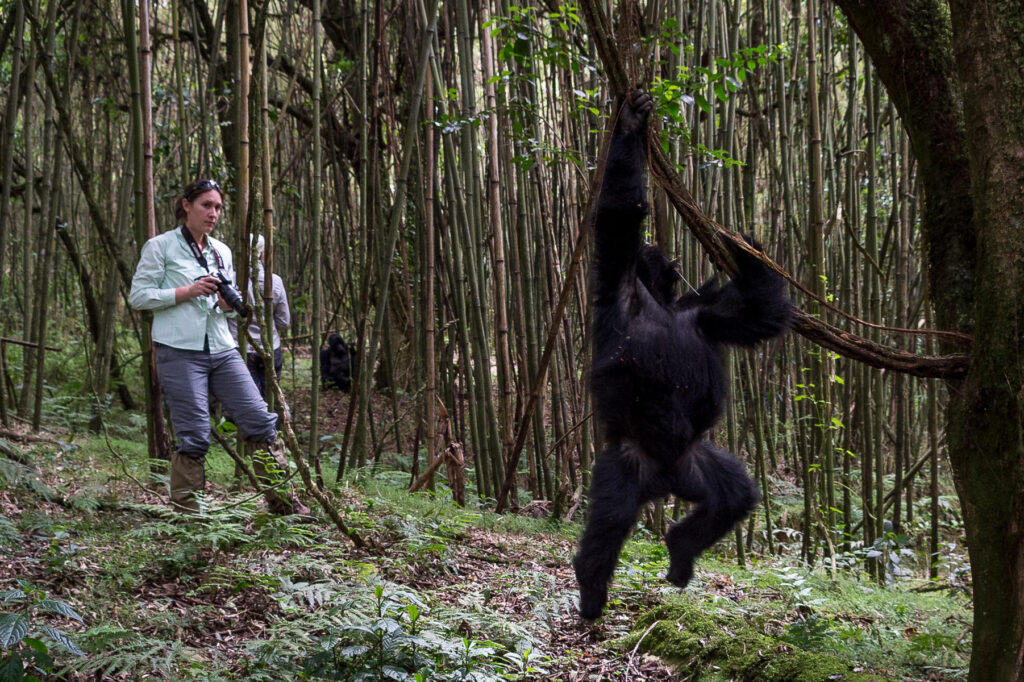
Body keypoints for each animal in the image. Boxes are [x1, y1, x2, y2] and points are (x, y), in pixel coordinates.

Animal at [573, 87, 794, 618]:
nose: (674, 268)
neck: (661, 305)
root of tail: (664, 484)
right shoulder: (618, 278)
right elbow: (619, 215)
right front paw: (630, 125)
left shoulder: (707, 313)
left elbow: (757, 315)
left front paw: (744, 246)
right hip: (628, 462)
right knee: (610, 520)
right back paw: (592, 587)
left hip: (696, 463)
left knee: (734, 496)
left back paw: (680, 550)